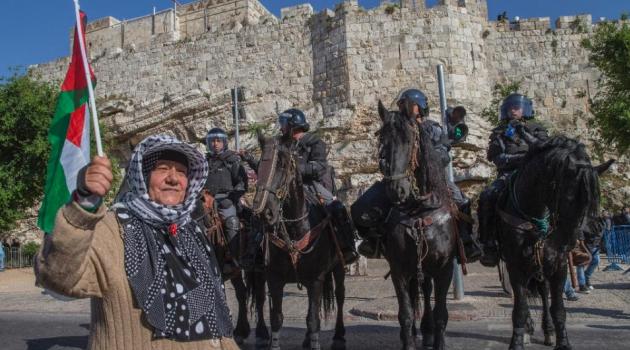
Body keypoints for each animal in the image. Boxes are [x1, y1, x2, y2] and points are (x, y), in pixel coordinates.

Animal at [376, 102, 460, 350]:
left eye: (409, 139)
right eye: (382, 139)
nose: (397, 190)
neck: (420, 211)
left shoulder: (444, 269)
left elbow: (442, 313)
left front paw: (437, 339)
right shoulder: (399, 270)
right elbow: (404, 313)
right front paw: (409, 339)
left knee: (426, 290)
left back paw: (428, 331)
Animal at [496, 137, 616, 350]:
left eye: (594, 199)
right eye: (571, 196)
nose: (593, 235)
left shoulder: (559, 265)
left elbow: (558, 308)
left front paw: (563, 342)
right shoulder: (515, 266)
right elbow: (520, 308)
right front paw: (517, 341)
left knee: (544, 293)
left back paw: (548, 330)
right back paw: (528, 329)